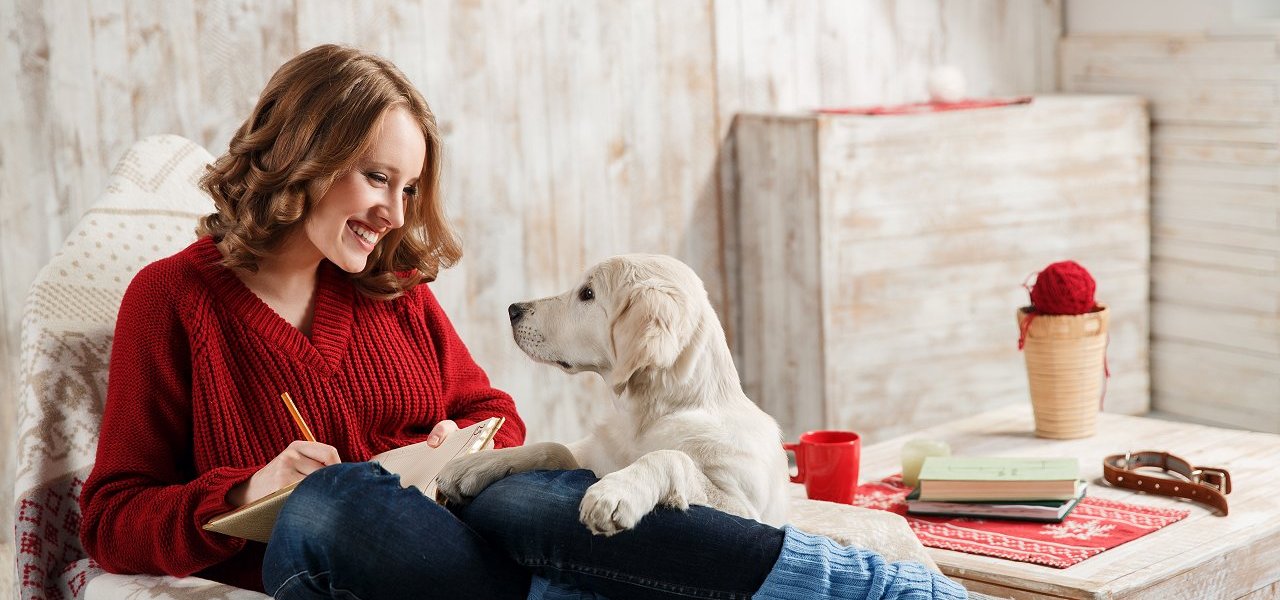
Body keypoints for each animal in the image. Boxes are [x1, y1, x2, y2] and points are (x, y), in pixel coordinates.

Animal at [440, 252, 788, 532]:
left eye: (587, 293)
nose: (513, 310)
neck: (647, 416)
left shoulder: (743, 506)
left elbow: (670, 456)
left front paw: (617, 490)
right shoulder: (593, 455)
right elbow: (555, 447)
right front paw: (478, 463)